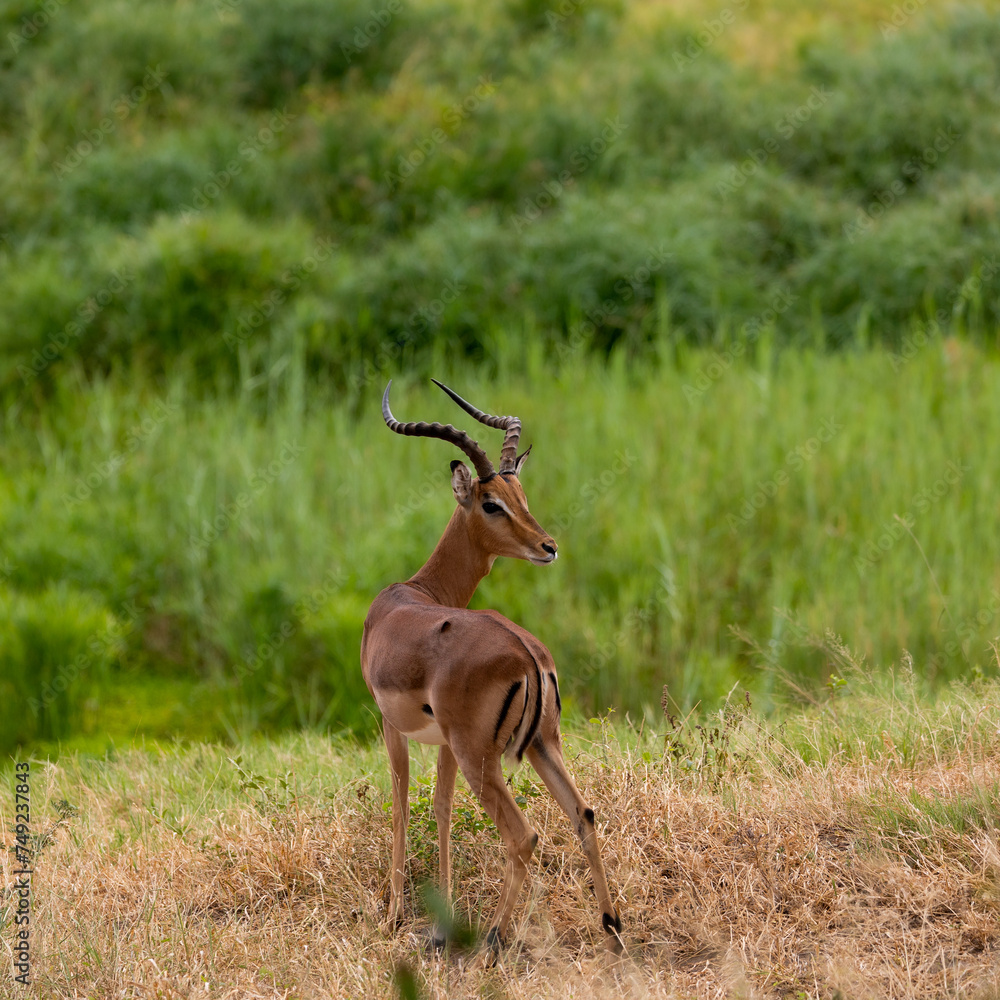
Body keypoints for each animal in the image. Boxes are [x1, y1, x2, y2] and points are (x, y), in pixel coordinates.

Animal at [361, 379, 623, 958]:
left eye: (519, 498)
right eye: (494, 502)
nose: (548, 546)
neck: (410, 597)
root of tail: (528, 655)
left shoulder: (392, 726)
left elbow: (401, 804)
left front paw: (393, 917)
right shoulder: (441, 743)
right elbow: (440, 808)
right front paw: (441, 924)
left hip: (482, 757)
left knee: (523, 836)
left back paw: (496, 939)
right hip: (542, 744)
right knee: (584, 813)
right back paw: (613, 926)